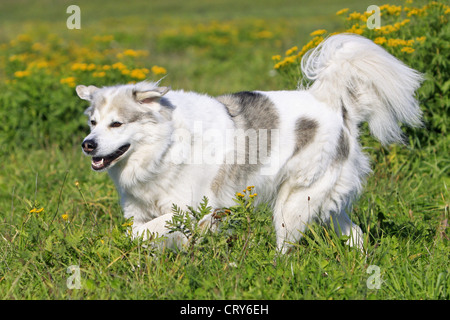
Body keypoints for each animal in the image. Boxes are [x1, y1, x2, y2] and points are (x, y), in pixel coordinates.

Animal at [76, 34, 422, 252]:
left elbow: (139, 233)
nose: (87, 145)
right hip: (322, 201)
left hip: (292, 204)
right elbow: (140, 233)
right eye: (93, 123)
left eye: (116, 123)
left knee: (286, 248)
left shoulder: (190, 210)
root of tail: (329, 101)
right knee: (355, 233)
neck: (164, 147)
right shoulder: (140, 209)